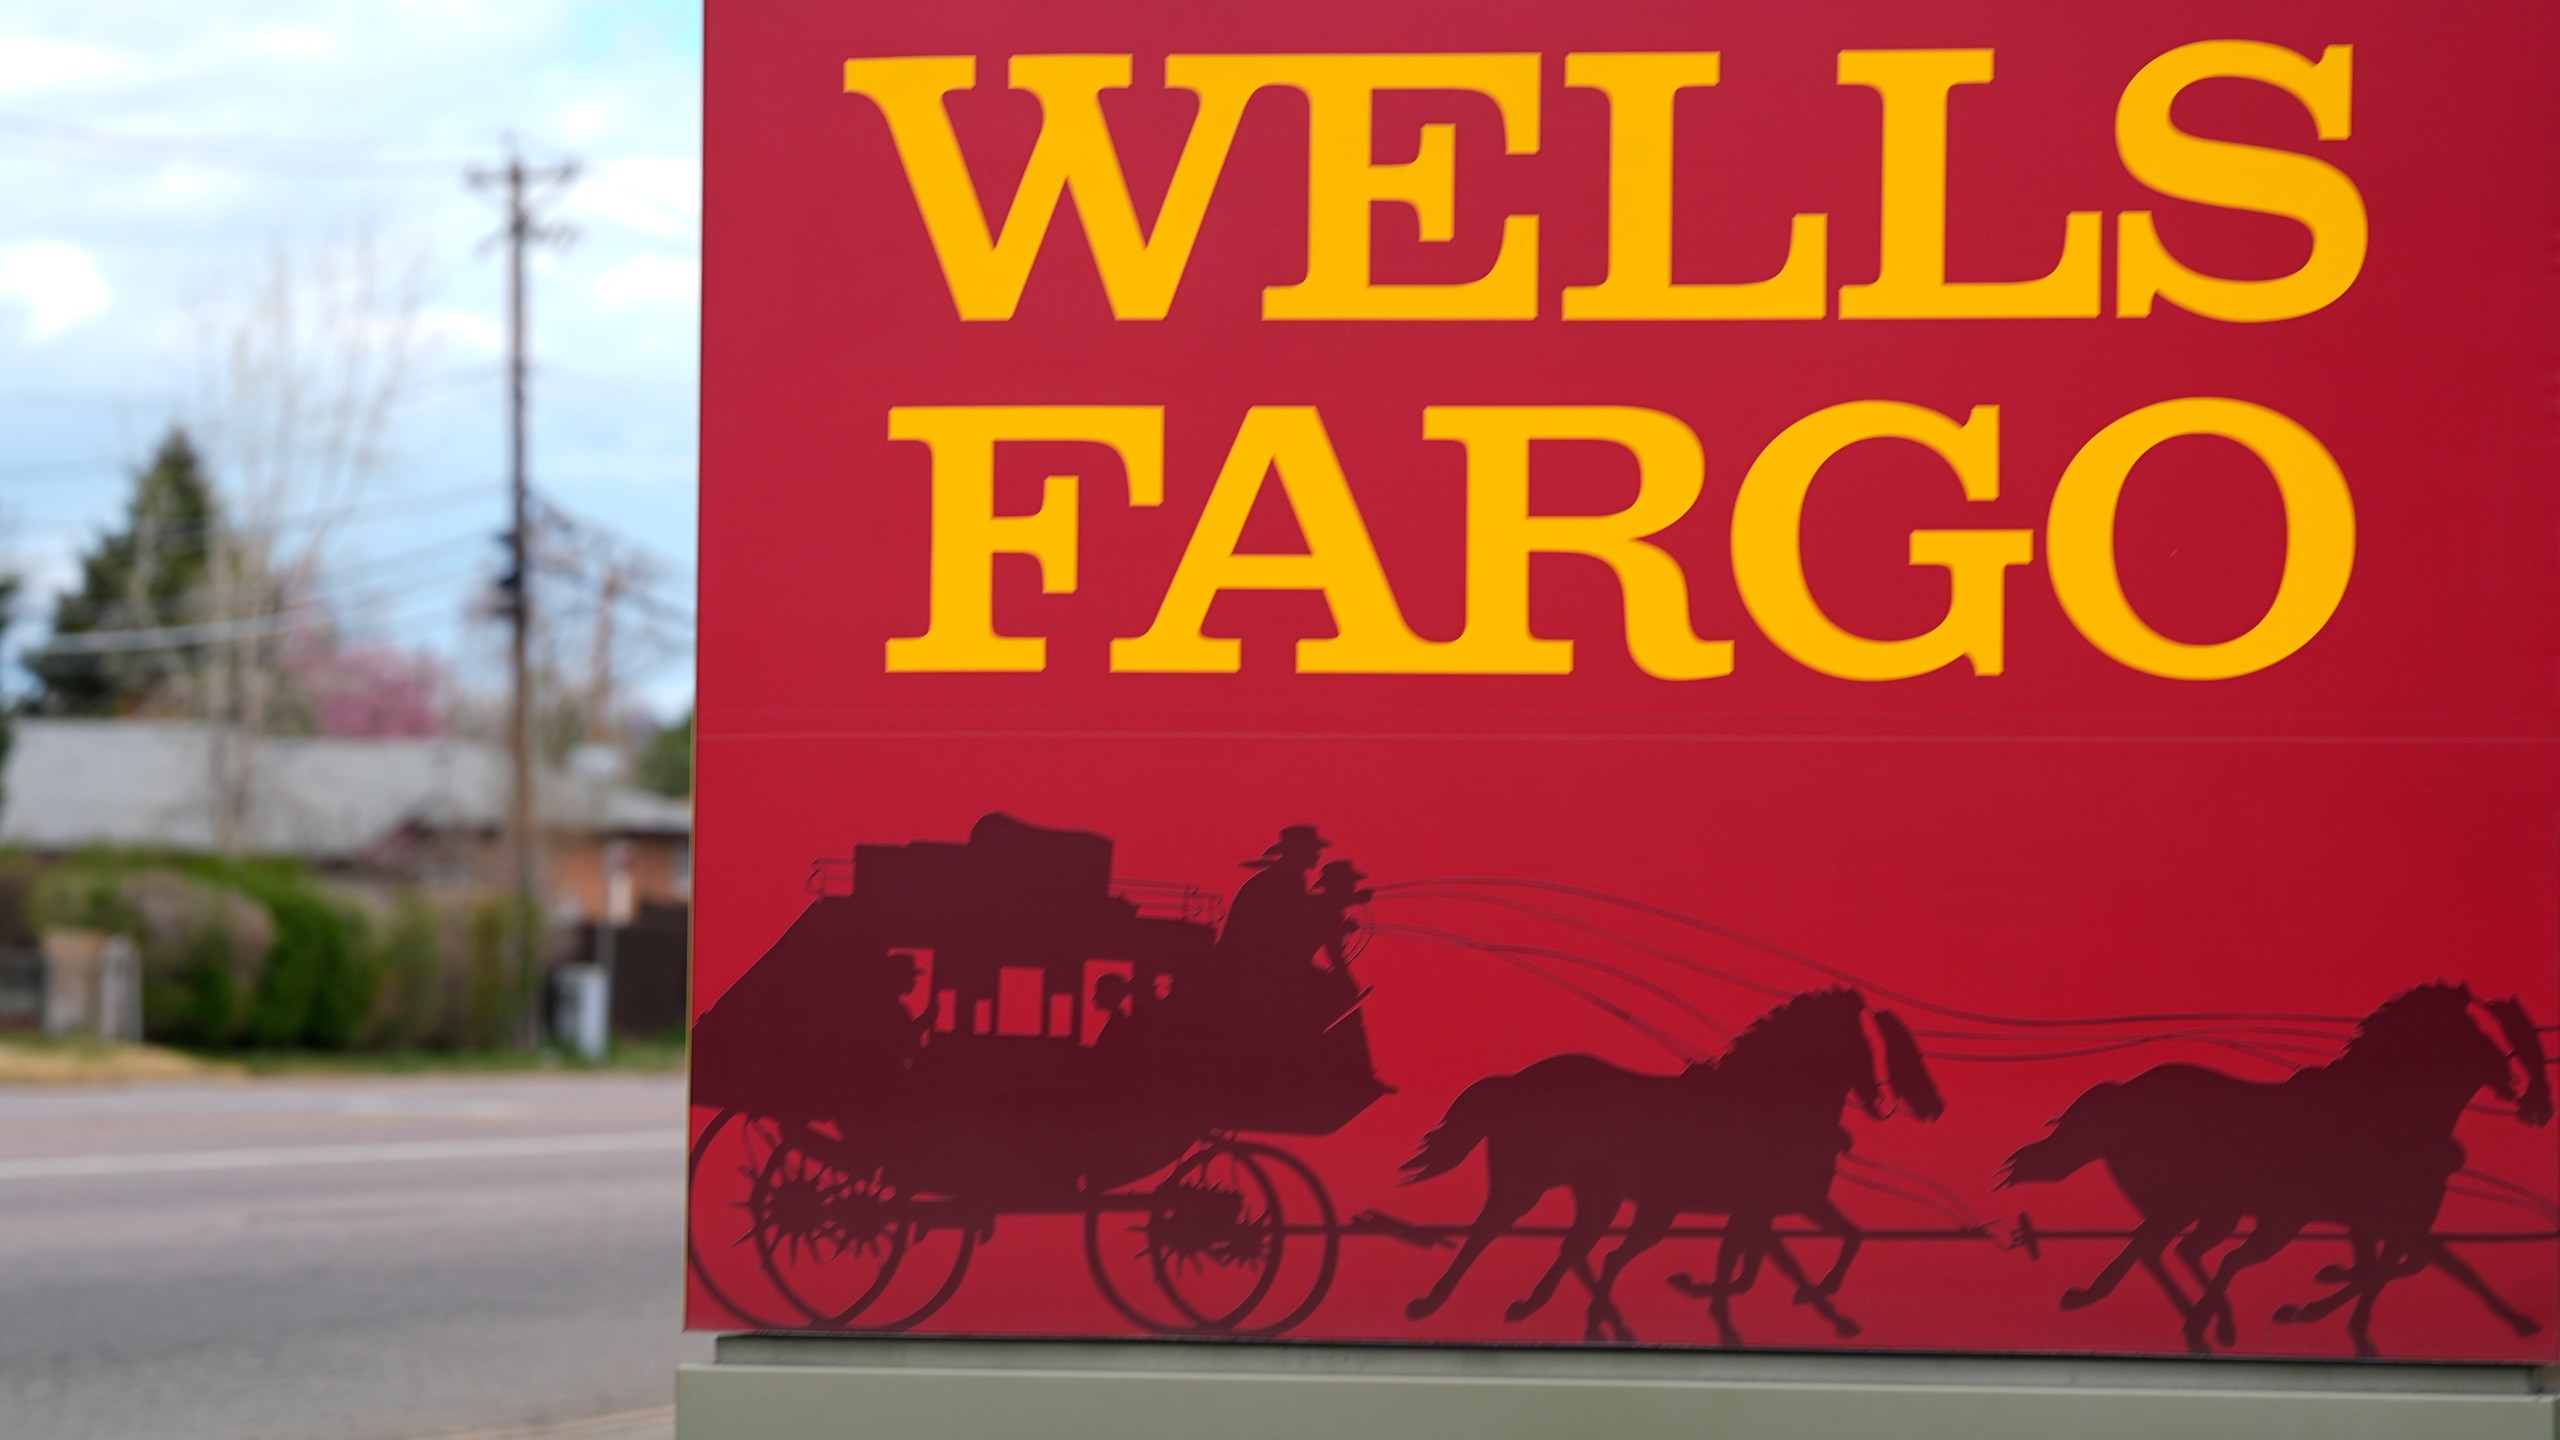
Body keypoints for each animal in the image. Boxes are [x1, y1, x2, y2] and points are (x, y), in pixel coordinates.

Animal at [1402, 978, 1935, 1342]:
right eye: (1868, 1044)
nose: (1882, 1101)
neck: (1766, 1097)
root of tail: (1515, 1081)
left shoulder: (1770, 1207)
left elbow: (1800, 1251)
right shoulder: (1778, 1204)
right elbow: (1757, 1262)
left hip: (1607, 1198)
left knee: (1577, 1247)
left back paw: (1549, 1311)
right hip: (1529, 1184)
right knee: (1489, 1232)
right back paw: (1435, 1304)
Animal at [2007, 978, 2549, 1352]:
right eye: (2501, 1044)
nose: (2540, 1109)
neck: (2381, 1106)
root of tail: (2121, 1095)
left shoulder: (2378, 1220)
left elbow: (2408, 1265)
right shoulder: (2351, 1217)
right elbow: (2409, 1266)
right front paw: (2309, 1309)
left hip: (2203, 1210)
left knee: (2160, 1247)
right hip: (2202, 1207)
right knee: (2166, 1248)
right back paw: (2200, 1320)